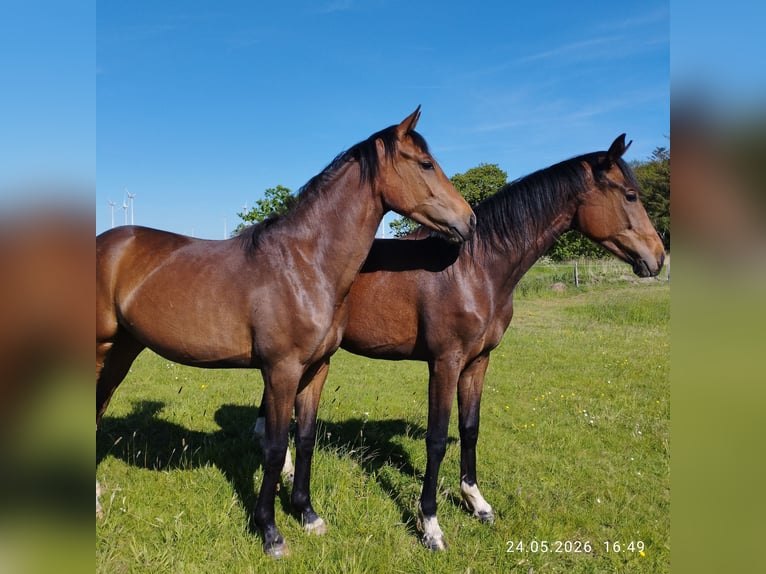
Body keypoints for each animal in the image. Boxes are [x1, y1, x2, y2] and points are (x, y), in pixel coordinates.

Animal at [95, 107, 476, 558]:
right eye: (425, 164)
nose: (469, 220)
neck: (304, 264)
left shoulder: (316, 369)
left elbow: (306, 438)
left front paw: (308, 515)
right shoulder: (281, 370)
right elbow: (277, 448)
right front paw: (270, 532)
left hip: (121, 350)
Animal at [255, 134, 666, 550]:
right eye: (630, 195)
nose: (658, 257)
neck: (475, 267)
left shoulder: (478, 361)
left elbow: (470, 428)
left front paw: (476, 502)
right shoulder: (445, 362)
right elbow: (436, 439)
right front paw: (430, 525)